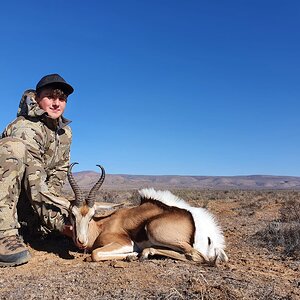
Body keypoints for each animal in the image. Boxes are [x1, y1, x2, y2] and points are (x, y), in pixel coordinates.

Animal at [59, 163, 227, 264]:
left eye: (92, 215)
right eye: (72, 214)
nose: (81, 241)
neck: (102, 226)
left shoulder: (125, 243)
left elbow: (95, 254)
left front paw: (131, 255)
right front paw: (133, 255)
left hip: (154, 230)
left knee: (195, 255)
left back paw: (142, 254)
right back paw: (147, 252)